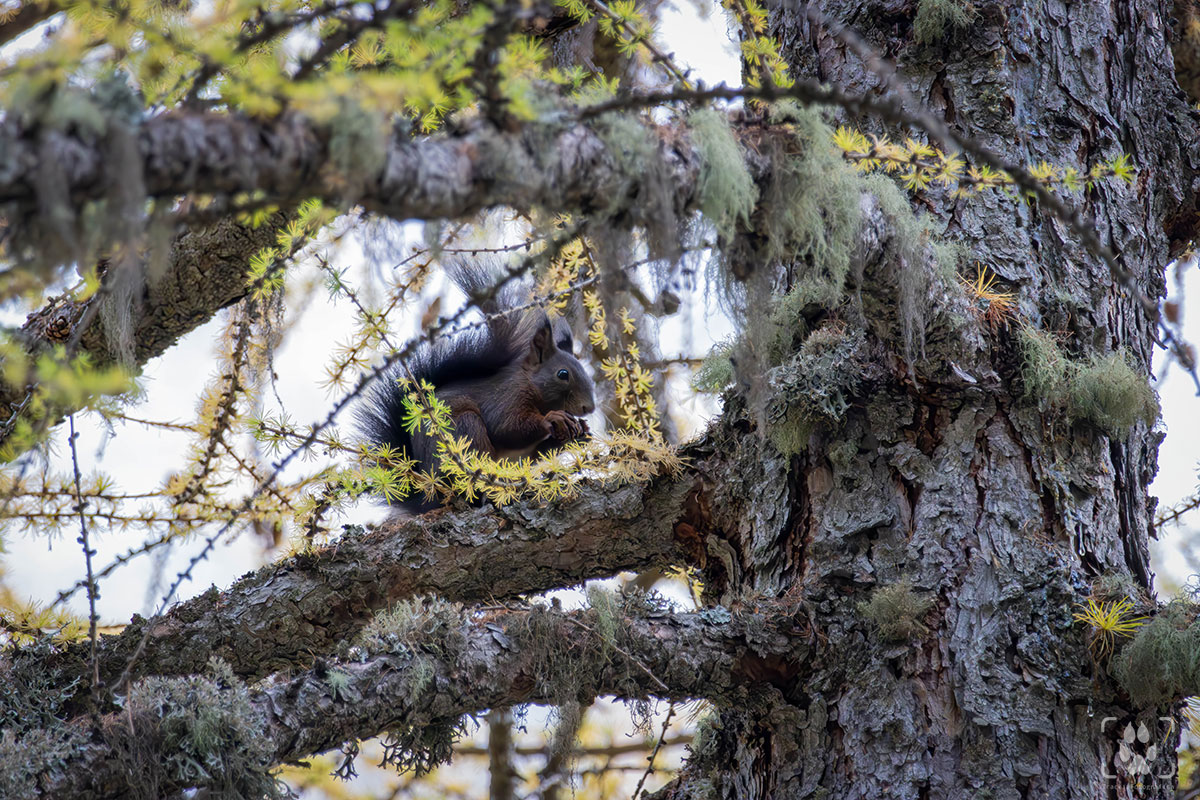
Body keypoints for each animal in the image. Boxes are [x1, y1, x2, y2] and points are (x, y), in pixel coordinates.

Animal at [356, 270, 597, 512]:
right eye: (563, 374)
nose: (589, 408)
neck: (530, 385)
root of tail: (428, 496)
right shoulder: (507, 395)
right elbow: (507, 427)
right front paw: (553, 418)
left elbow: (534, 453)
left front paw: (580, 432)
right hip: (464, 432)